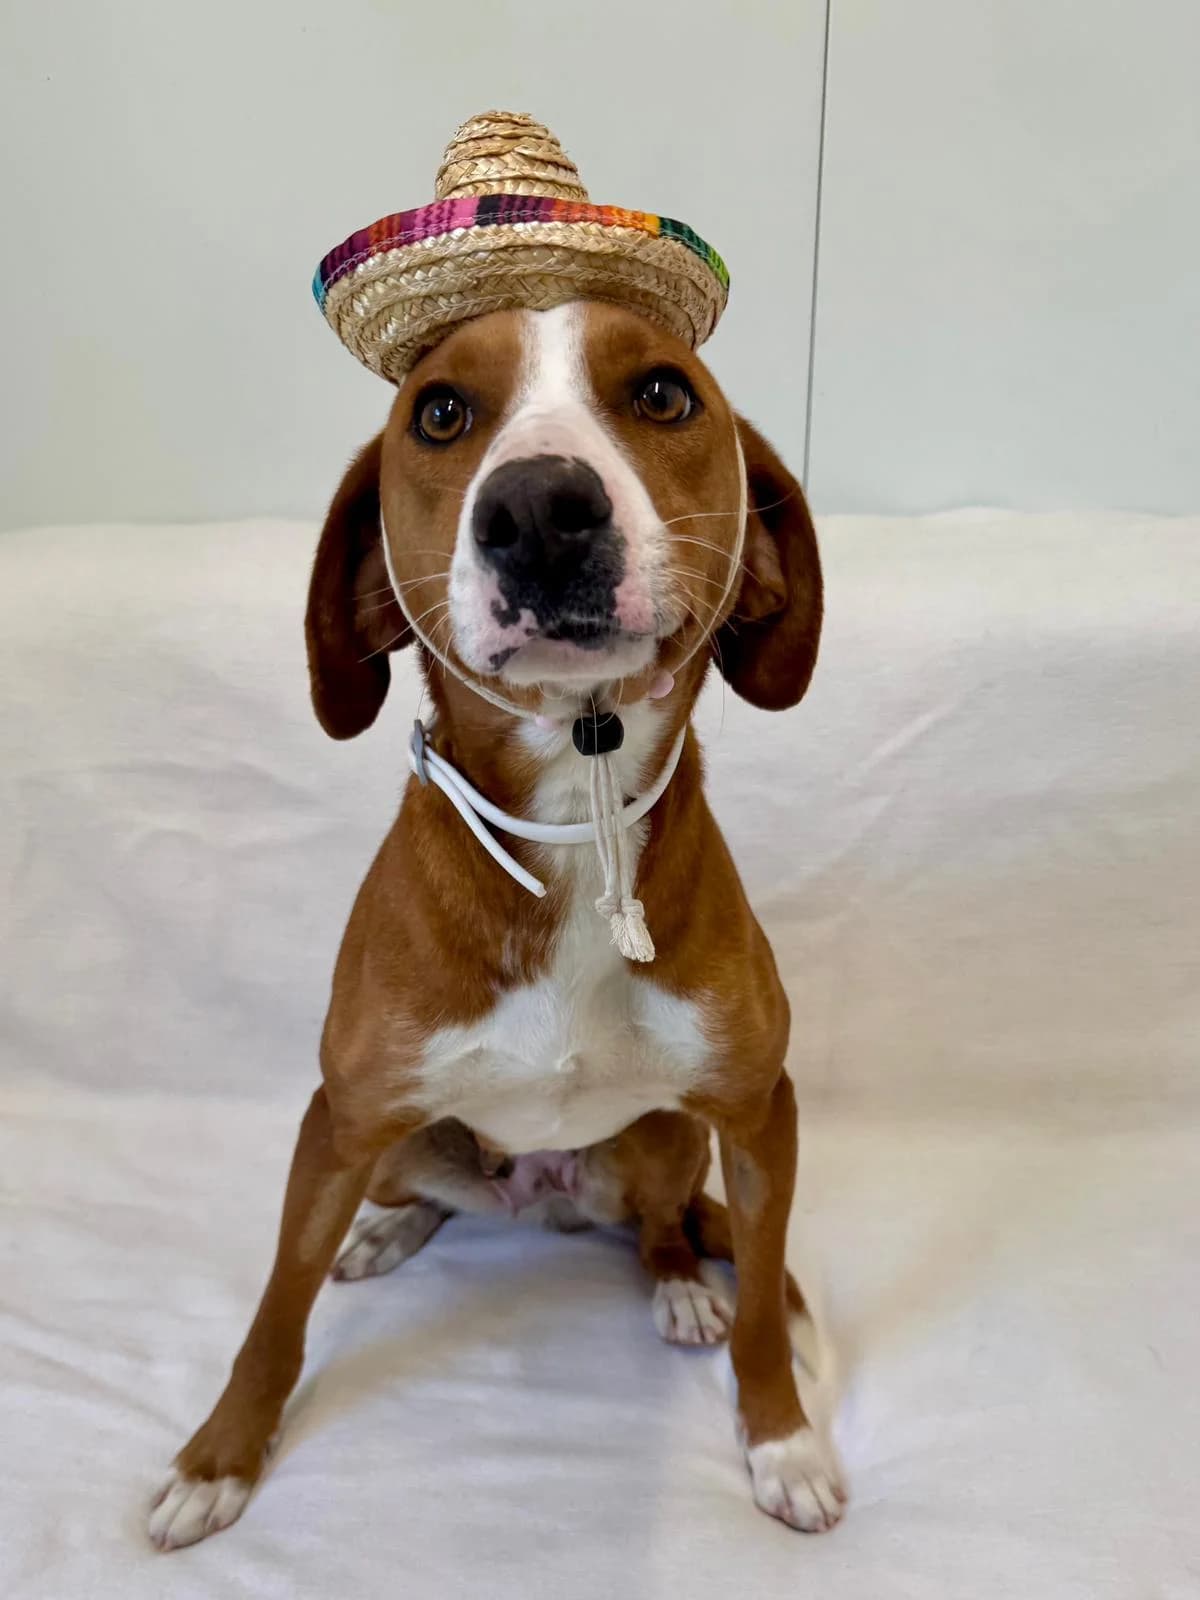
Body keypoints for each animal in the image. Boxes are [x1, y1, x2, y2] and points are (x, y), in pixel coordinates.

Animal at [148, 299, 842, 1549]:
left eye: (663, 393)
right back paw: (385, 1232)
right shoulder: (339, 1112)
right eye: (439, 412)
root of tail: (540, 1196)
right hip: (380, 1140)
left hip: (663, 1139)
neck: (574, 807)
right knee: (407, 1193)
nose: (537, 511)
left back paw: (679, 1283)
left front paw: (783, 1442)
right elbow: (277, 1305)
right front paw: (217, 1459)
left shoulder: (761, 1111)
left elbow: (767, 1304)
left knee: (664, 1221)